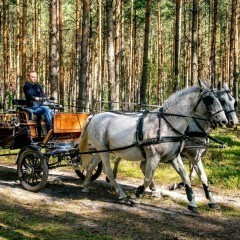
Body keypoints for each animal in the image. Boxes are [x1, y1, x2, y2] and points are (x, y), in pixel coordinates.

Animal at [79, 80, 227, 212]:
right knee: (108, 170)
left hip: (102, 149)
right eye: (209, 99)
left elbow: (185, 176)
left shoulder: (174, 157)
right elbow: (148, 177)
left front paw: (192, 203)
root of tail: (94, 116)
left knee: (91, 165)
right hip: (104, 150)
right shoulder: (154, 156)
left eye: (218, 98)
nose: (224, 121)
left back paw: (85, 186)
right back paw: (121, 194)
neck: (168, 124)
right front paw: (137, 196)